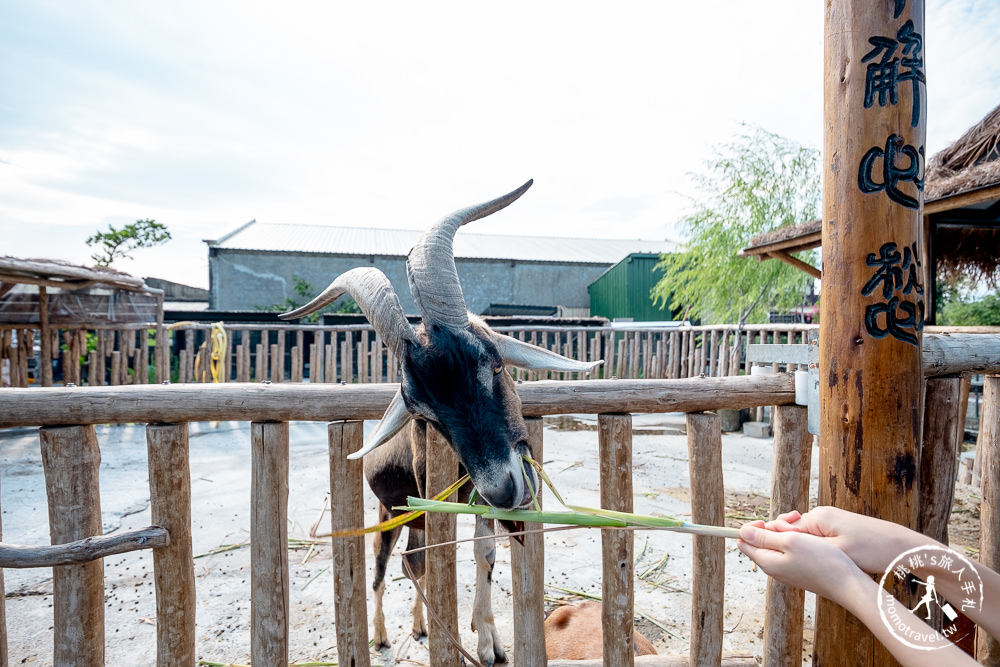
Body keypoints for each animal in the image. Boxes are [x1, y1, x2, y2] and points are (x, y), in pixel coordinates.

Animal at [282, 180, 596, 664]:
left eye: (495, 365)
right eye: (423, 411)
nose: (504, 489)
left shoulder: (476, 499)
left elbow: (485, 553)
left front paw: (489, 639)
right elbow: (435, 562)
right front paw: (478, 642)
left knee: (415, 562)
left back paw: (420, 625)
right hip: (391, 513)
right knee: (387, 568)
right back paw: (382, 635)